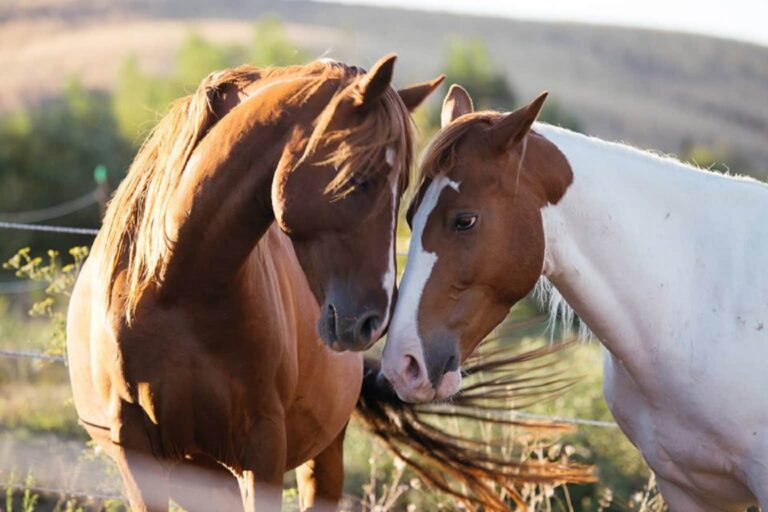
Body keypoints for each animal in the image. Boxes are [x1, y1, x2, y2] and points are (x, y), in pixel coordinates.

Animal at [66, 55, 446, 512]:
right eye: (360, 179)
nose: (375, 320)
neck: (174, 289)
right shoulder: (136, 450)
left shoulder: (262, 444)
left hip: (318, 454)